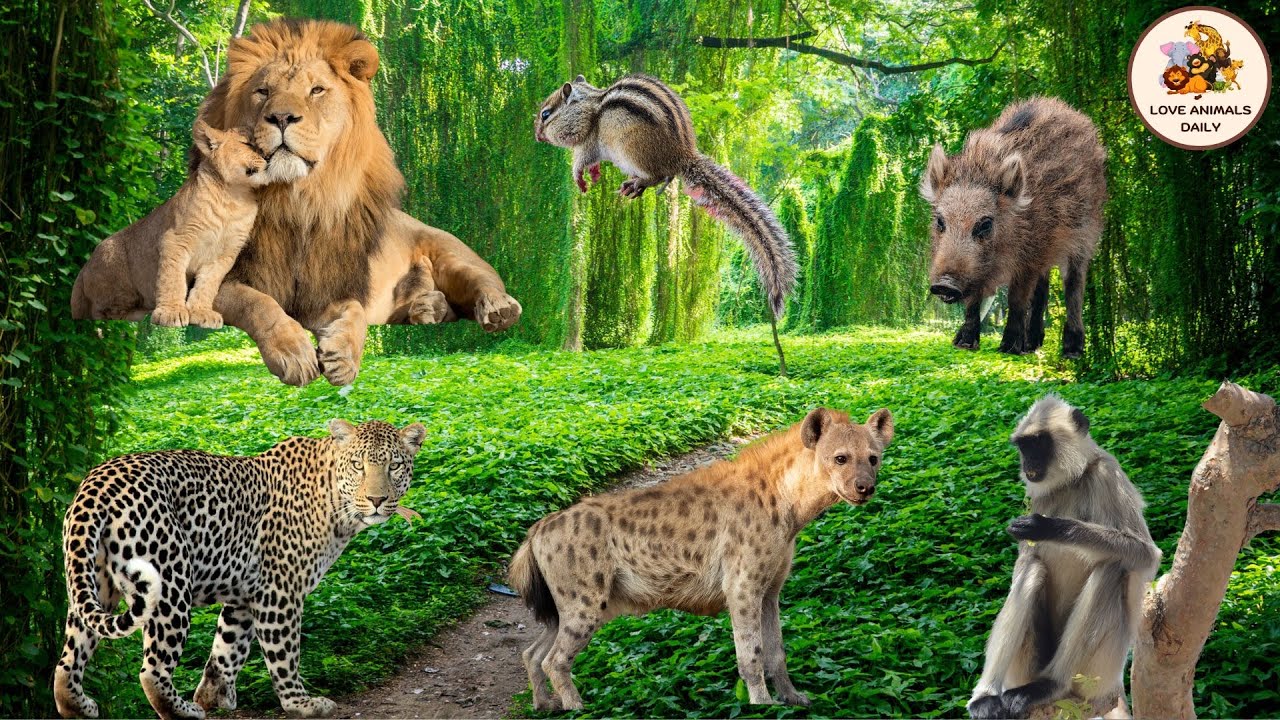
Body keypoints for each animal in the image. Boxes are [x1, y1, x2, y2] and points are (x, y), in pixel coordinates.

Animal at [197, 19, 522, 386]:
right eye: (263, 91)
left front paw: (343, 357)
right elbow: (259, 303)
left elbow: (353, 311)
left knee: (484, 279)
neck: (296, 201)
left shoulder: (328, 289)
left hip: (451, 254)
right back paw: (428, 308)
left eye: (316, 91)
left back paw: (498, 308)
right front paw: (294, 354)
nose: (281, 117)